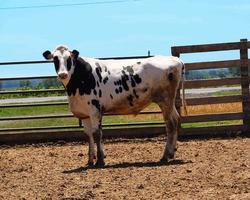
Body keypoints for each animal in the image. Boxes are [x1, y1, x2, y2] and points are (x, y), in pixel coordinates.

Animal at [42, 46, 184, 166]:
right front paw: (90, 160)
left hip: (165, 100)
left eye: (69, 58)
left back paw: (165, 156)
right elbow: (88, 135)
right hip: (169, 102)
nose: (63, 74)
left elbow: (97, 133)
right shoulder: (85, 114)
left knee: (170, 124)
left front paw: (100, 160)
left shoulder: (95, 110)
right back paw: (172, 153)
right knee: (176, 119)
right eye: (55, 58)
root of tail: (175, 60)